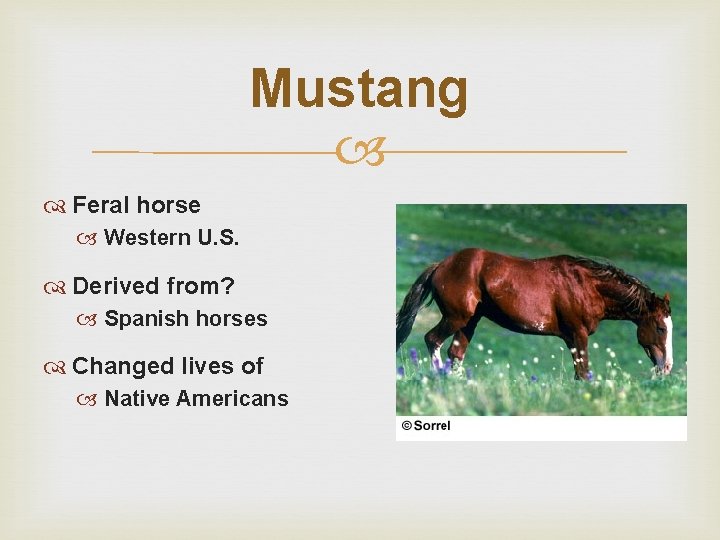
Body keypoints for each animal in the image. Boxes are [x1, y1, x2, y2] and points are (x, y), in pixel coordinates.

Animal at [396, 248, 673, 380]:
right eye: (661, 328)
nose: (667, 366)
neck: (587, 285)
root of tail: (441, 265)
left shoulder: (573, 339)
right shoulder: (578, 335)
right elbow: (583, 374)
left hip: (469, 321)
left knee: (456, 354)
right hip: (456, 318)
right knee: (432, 340)